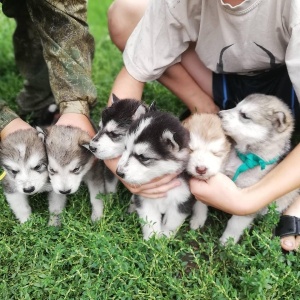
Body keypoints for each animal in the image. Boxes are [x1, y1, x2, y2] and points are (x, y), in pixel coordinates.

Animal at [115, 110, 195, 239]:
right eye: (125, 148)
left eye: (143, 157)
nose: (118, 173)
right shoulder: (144, 199)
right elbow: (149, 220)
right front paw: (152, 239)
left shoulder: (182, 201)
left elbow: (171, 222)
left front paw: (165, 237)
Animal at [218, 94, 298, 244]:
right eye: (235, 106)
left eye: (244, 115)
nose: (218, 114)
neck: (245, 159)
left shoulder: (247, 200)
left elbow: (235, 224)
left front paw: (227, 241)